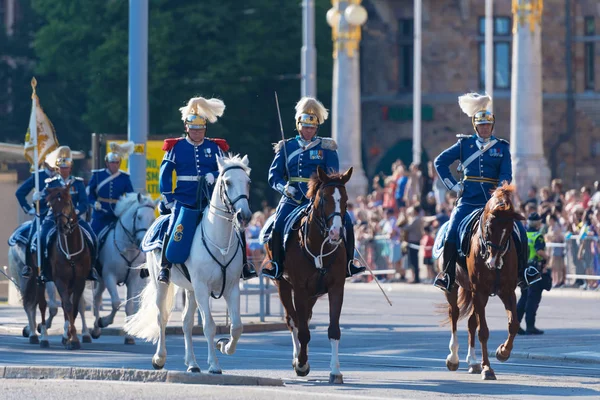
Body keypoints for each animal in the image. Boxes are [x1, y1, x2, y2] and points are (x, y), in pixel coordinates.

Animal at [91, 191, 157, 344]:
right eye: (138, 217)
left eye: (152, 219)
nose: (142, 242)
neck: (127, 247)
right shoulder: (109, 276)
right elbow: (116, 303)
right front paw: (104, 321)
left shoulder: (133, 280)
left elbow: (129, 306)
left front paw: (129, 335)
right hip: (101, 278)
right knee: (96, 298)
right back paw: (96, 328)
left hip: (102, 280)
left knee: (97, 297)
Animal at [124, 155, 251, 374]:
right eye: (227, 182)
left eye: (248, 182)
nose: (244, 215)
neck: (219, 239)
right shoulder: (202, 288)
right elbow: (209, 325)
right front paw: (214, 365)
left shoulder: (231, 287)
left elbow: (237, 326)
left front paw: (225, 346)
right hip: (163, 285)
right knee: (162, 318)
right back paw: (159, 358)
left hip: (190, 290)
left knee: (186, 323)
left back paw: (192, 363)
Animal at [266, 166, 352, 384]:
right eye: (324, 199)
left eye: (345, 199)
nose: (336, 233)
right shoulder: (299, 289)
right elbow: (302, 330)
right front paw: (302, 364)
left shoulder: (336, 288)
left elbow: (334, 329)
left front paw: (335, 371)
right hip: (283, 285)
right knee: (293, 320)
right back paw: (297, 358)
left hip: (314, 293)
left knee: (303, 317)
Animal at [442, 183, 524, 380]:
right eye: (488, 227)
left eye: (510, 230)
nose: (493, 262)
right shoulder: (479, 291)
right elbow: (484, 332)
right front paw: (488, 368)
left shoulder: (507, 291)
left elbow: (513, 324)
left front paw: (503, 352)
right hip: (454, 287)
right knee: (454, 314)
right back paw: (453, 358)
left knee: (472, 322)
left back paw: (473, 362)